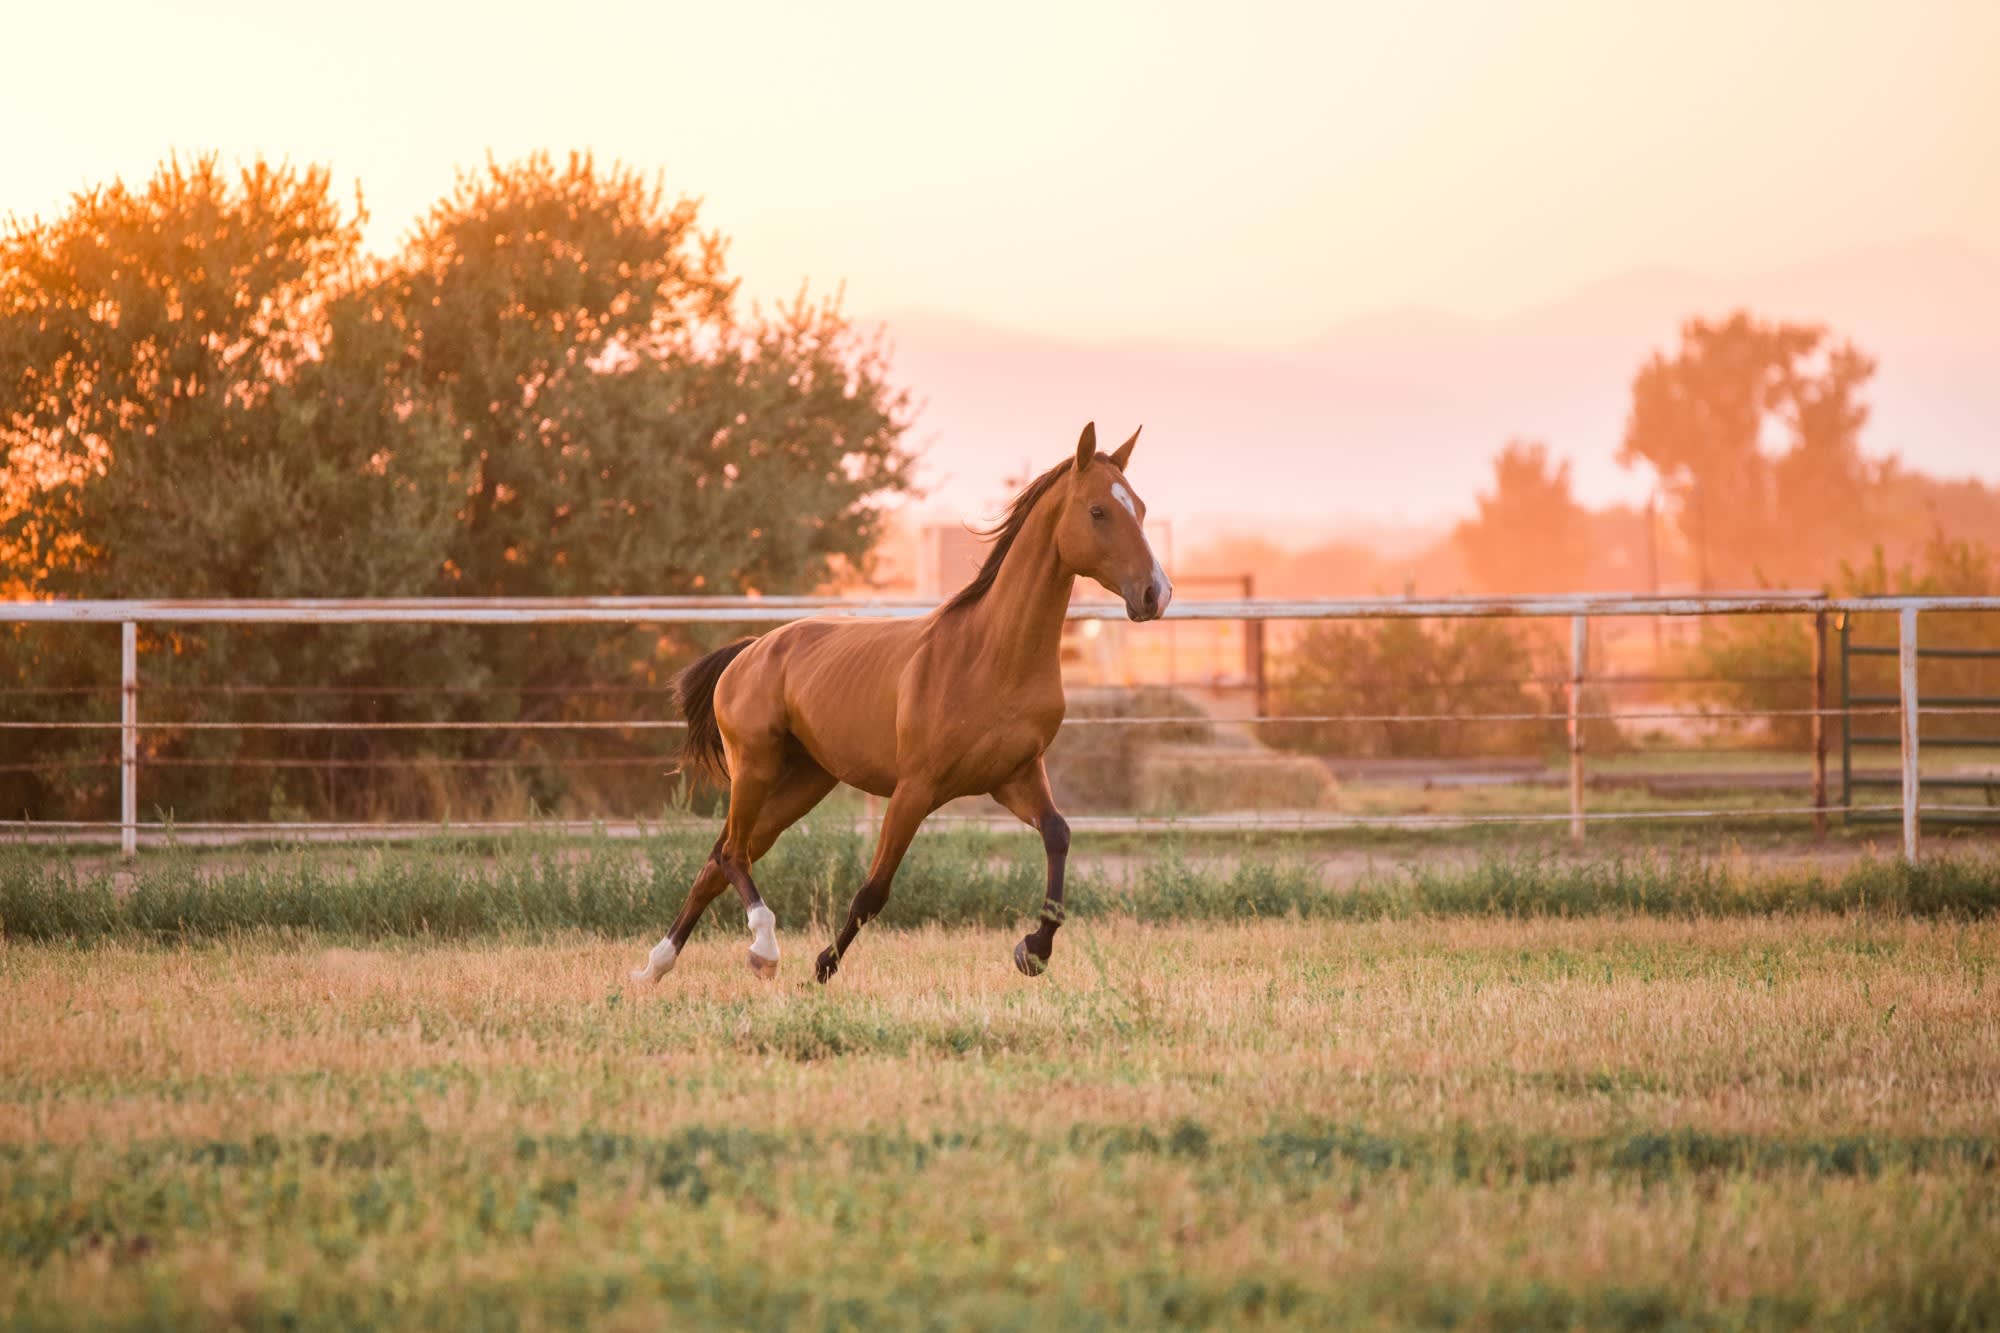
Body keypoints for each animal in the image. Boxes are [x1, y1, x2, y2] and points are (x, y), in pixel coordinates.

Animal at [631, 422, 1172, 986]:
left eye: (1140, 507)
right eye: (1098, 511)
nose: (1156, 594)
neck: (991, 656)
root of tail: (750, 651)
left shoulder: (1015, 778)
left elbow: (1059, 835)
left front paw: (1033, 950)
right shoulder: (915, 789)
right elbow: (873, 891)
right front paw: (822, 966)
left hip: (801, 784)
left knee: (716, 862)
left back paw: (654, 968)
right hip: (754, 769)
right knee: (734, 854)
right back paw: (763, 948)